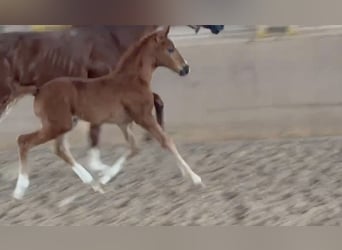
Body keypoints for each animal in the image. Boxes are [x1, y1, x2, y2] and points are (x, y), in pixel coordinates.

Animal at [13, 26, 202, 200]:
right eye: (170, 49)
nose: (186, 68)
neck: (132, 80)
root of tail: (38, 90)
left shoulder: (124, 123)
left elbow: (134, 148)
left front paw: (104, 179)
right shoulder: (144, 117)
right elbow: (167, 141)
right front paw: (195, 178)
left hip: (65, 124)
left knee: (59, 149)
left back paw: (93, 184)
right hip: (58, 125)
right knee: (24, 141)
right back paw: (19, 190)